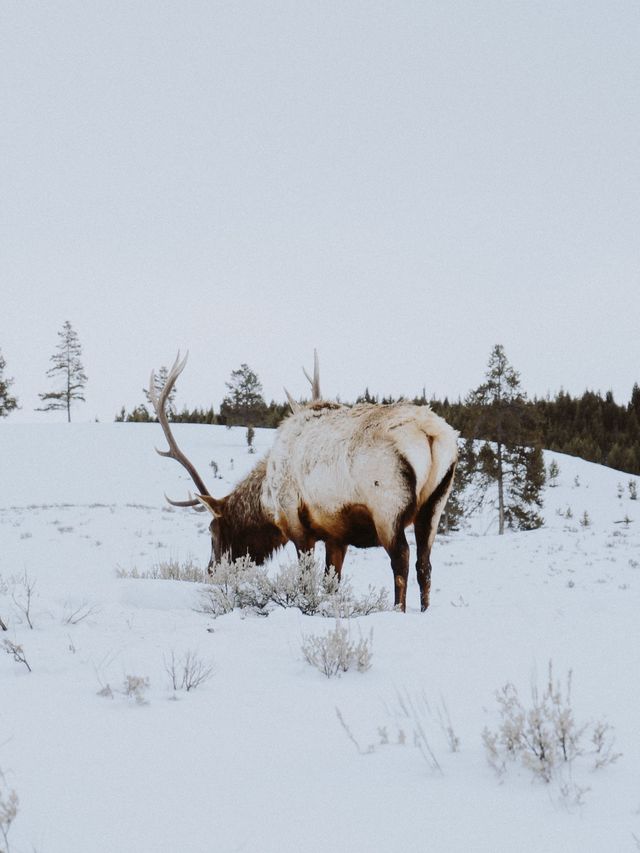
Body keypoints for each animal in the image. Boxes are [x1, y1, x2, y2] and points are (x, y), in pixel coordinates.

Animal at [149, 352, 460, 612]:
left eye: (212, 531)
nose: (211, 572)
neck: (267, 500)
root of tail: (431, 434)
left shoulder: (297, 525)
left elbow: (305, 579)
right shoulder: (336, 535)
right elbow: (331, 583)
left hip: (387, 507)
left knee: (402, 560)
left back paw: (398, 611)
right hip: (435, 504)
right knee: (424, 564)